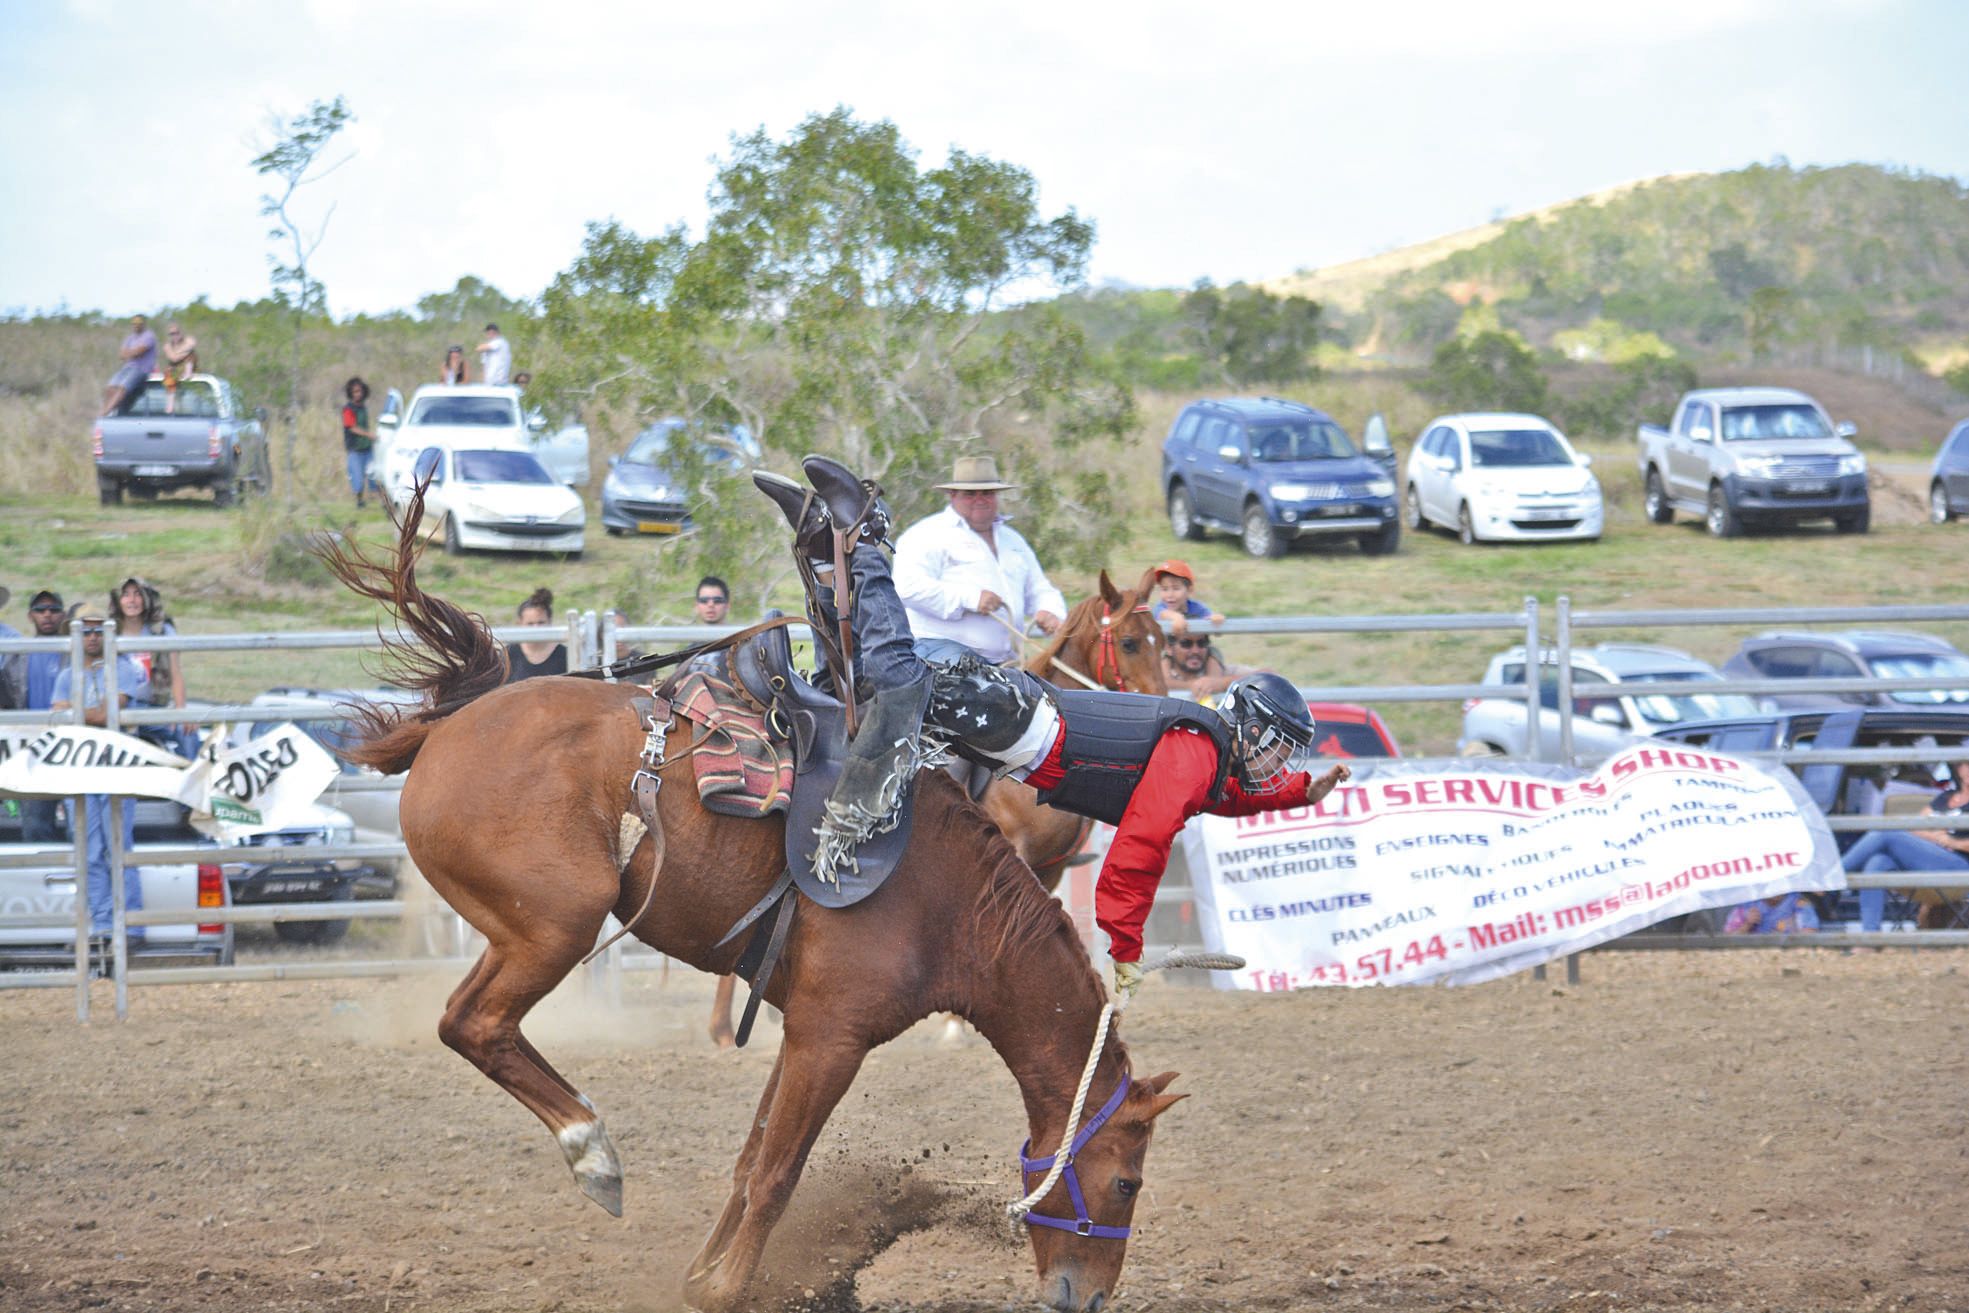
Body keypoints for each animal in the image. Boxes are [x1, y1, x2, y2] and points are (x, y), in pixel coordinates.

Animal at [708, 566, 1165, 1047]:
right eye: (1130, 642)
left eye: (1161, 639)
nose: (1166, 695)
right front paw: (954, 1025)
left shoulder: (1050, 870)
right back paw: (721, 1027)